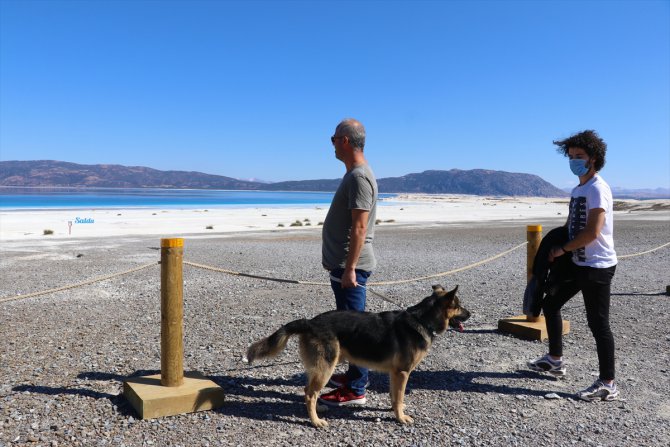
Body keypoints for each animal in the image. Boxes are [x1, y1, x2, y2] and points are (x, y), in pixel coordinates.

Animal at [247, 286, 472, 428]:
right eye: (459, 305)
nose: (471, 314)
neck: (422, 320)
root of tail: (310, 322)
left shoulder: (395, 374)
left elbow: (394, 396)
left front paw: (395, 410)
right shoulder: (402, 372)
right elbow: (399, 397)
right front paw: (400, 418)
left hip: (320, 368)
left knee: (309, 392)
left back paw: (318, 408)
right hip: (326, 368)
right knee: (310, 393)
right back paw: (315, 421)